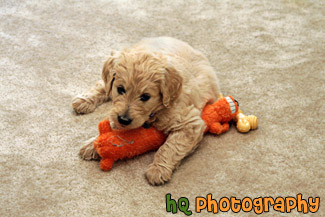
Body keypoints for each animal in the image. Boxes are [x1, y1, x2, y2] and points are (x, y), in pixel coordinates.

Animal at [73, 36, 219, 185]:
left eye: (145, 97)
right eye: (120, 89)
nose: (123, 119)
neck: (156, 110)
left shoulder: (189, 124)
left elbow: (171, 147)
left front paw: (158, 169)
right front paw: (94, 144)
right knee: (103, 84)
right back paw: (83, 101)